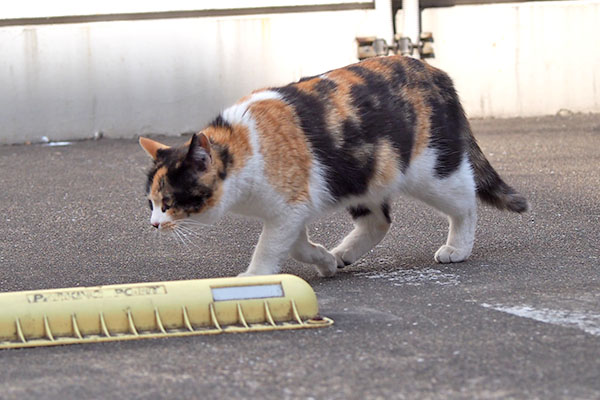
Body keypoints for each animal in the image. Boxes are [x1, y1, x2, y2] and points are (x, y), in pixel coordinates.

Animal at [138, 54, 528, 276]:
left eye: (168, 202)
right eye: (151, 203)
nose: (154, 224)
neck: (243, 146)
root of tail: (434, 71)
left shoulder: (289, 206)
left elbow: (270, 247)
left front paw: (255, 277)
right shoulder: (291, 209)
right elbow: (295, 245)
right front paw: (324, 260)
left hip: (431, 171)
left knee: (466, 200)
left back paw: (458, 249)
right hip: (364, 175)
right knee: (379, 222)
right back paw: (343, 255)